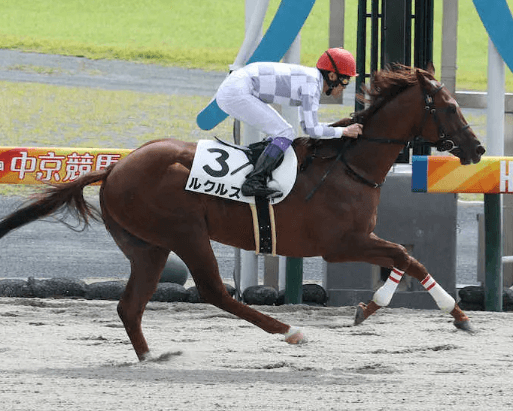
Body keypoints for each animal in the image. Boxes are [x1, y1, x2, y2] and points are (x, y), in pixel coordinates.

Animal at [0, 64, 484, 360]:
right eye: (450, 107)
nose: (478, 149)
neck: (350, 165)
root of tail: (115, 166)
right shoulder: (341, 244)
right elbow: (405, 255)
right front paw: (454, 315)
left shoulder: (359, 240)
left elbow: (407, 256)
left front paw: (377, 308)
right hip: (185, 233)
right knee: (215, 292)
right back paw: (288, 331)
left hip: (147, 246)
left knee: (129, 305)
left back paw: (150, 356)